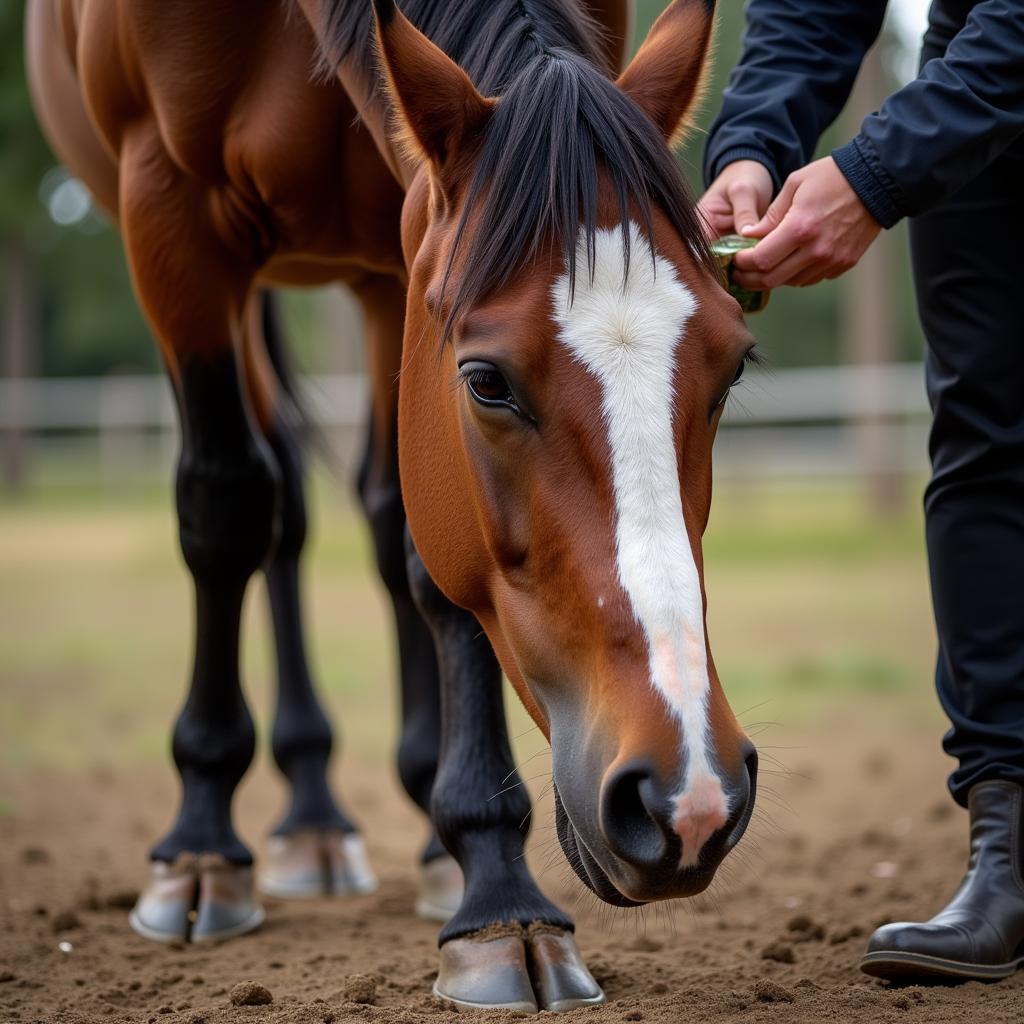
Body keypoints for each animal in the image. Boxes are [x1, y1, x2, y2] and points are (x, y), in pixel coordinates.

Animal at [25, 0, 761, 1011]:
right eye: (486, 382)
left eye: (733, 368)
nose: (687, 799)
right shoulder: (169, 206)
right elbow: (225, 504)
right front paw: (201, 848)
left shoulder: (398, 248)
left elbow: (419, 548)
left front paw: (492, 887)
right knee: (274, 496)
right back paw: (304, 819)